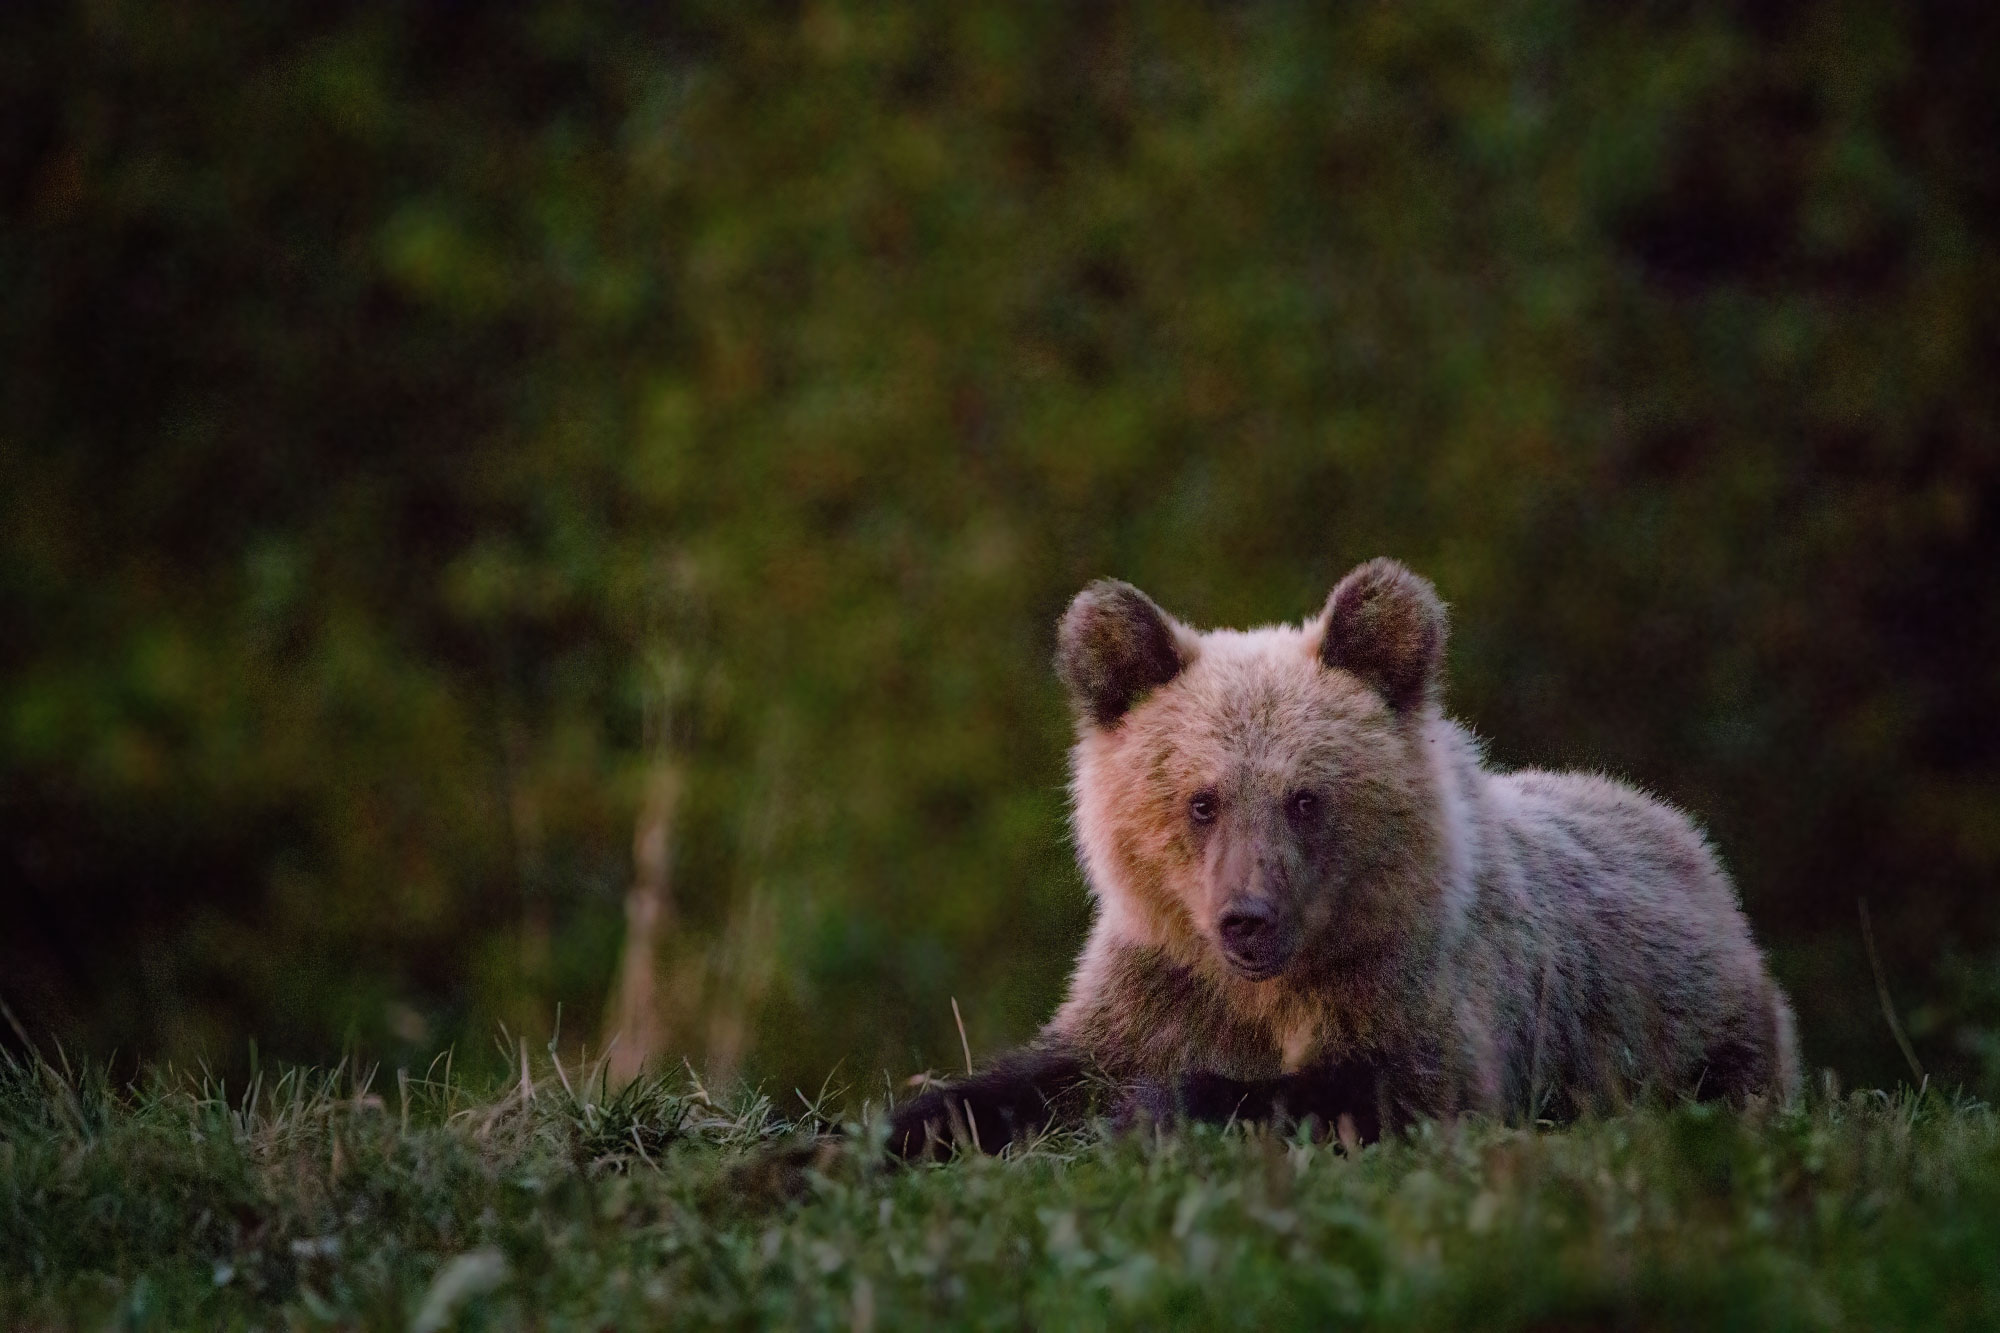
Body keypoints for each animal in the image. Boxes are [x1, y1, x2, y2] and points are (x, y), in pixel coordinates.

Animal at [892, 552, 1800, 1152]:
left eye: (1305, 798)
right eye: (1200, 800)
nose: (1247, 918)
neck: (1269, 986)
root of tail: (1688, 838)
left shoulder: (1423, 983)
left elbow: (1390, 1089)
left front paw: (1161, 1109)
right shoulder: (1161, 979)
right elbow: (1051, 1067)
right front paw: (903, 1128)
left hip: (1691, 1027)